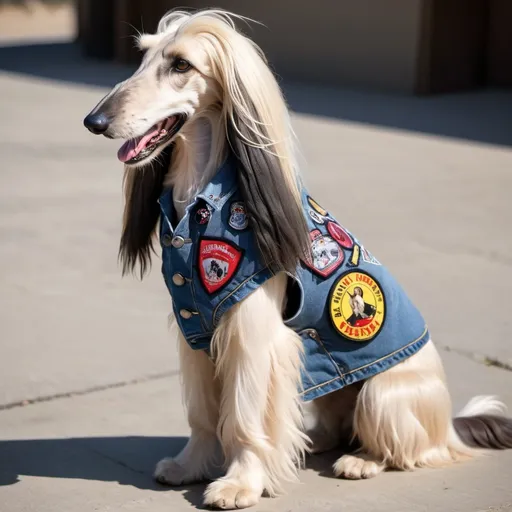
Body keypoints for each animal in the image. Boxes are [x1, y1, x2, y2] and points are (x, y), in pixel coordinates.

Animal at [84, 10, 512, 510]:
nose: (94, 120)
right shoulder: (195, 329)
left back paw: (363, 459)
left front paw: (241, 481)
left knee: (405, 447)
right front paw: (193, 464)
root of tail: (450, 428)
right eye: (142, 56)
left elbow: (244, 415)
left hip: (384, 392)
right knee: (336, 423)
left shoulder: (253, 334)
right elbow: (204, 414)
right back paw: (312, 441)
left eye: (181, 65)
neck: (201, 200)